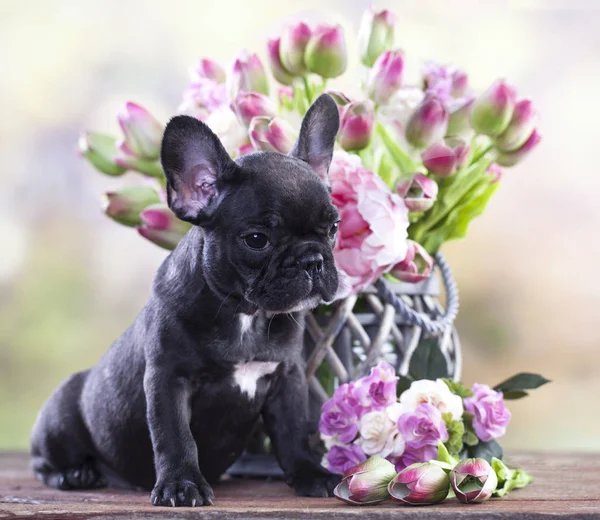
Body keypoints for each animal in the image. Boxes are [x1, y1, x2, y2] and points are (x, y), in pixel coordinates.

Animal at [29, 94, 346, 508]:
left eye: (334, 227)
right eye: (257, 239)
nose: (312, 260)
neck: (245, 314)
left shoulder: (287, 379)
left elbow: (293, 435)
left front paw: (311, 475)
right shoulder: (168, 380)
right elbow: (175, 437)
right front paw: (181, 485)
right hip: (59, 421)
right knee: (43, 462)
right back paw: (75, 474)